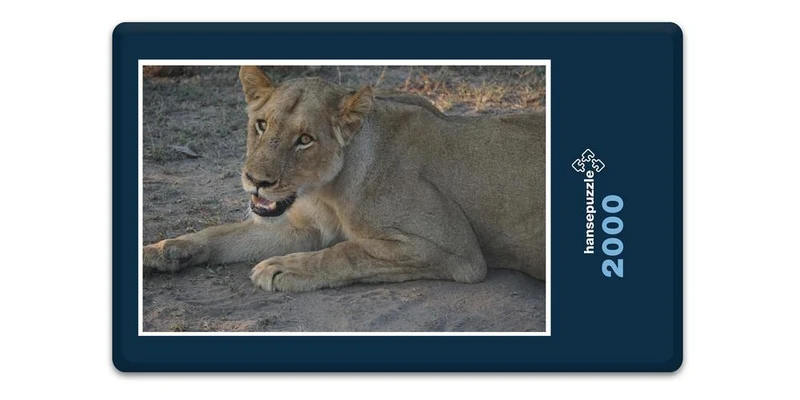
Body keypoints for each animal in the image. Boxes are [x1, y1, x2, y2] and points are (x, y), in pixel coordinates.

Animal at [143, 66, 546, 292]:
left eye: (305, 139)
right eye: (261, 125)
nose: (256, 181)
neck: (325, 192)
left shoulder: (457, 251)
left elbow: (347, 251)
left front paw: (282, 268)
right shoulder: (302, 227)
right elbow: (221, 234)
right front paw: (161, 251)